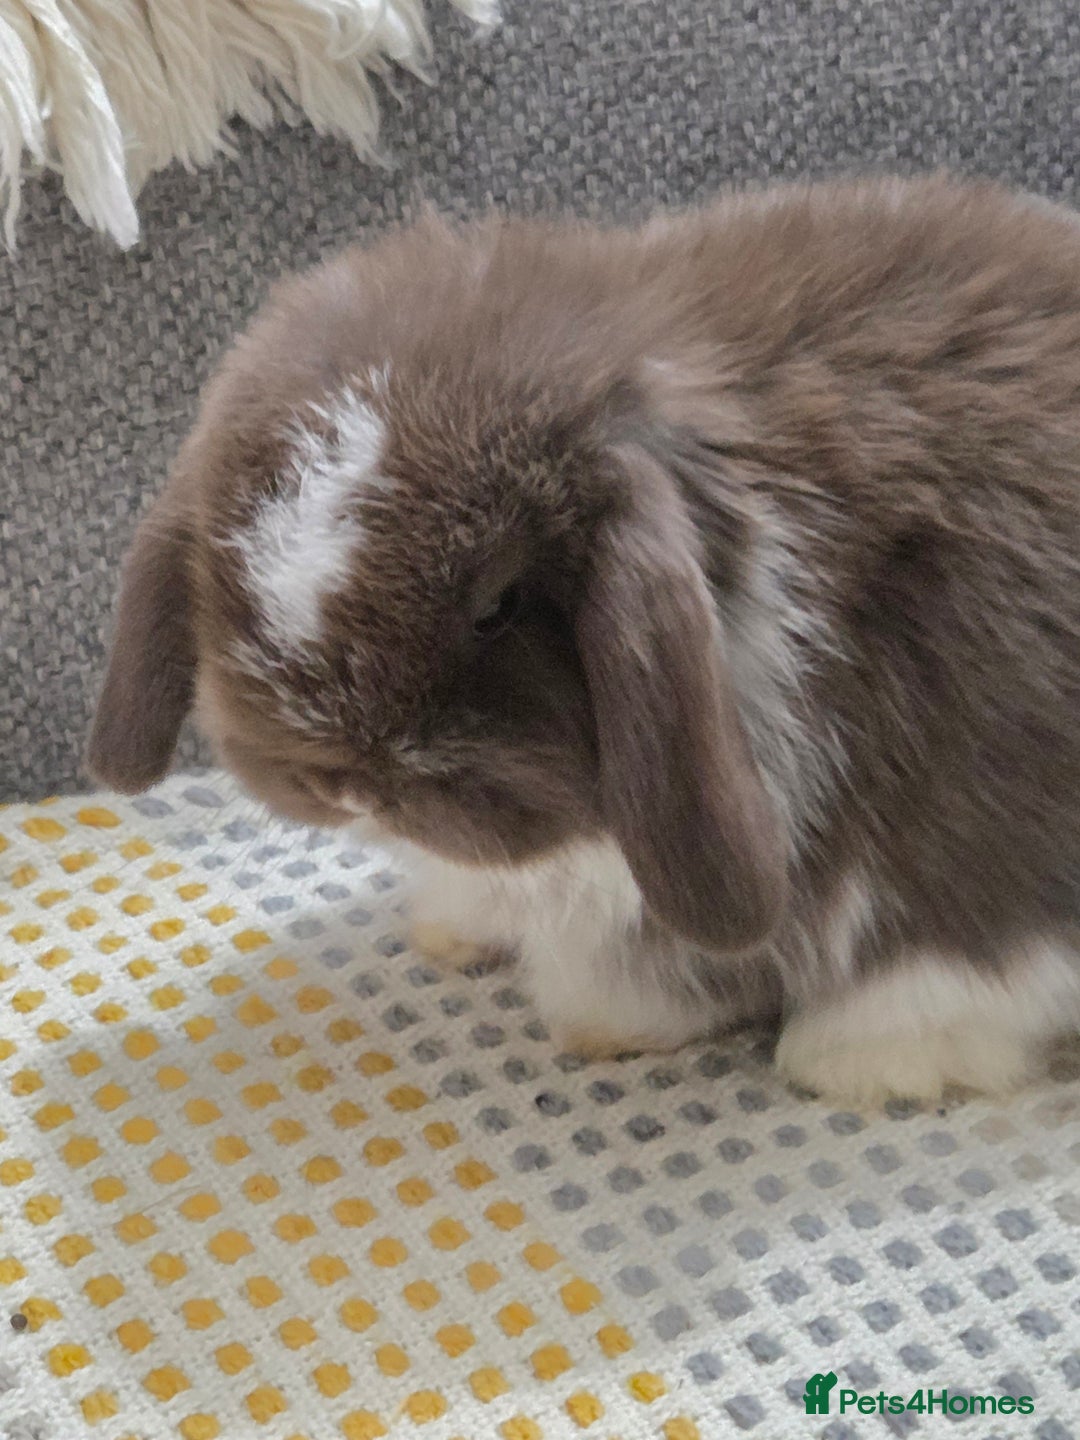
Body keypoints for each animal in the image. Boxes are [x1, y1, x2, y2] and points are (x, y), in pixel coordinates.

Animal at [88, 173, 1080, 1106]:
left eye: (499, 603)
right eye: (228, 562)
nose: (347, 783)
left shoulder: (973, 815)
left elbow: (944, 966)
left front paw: (859, 1063)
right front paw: (466, 939)